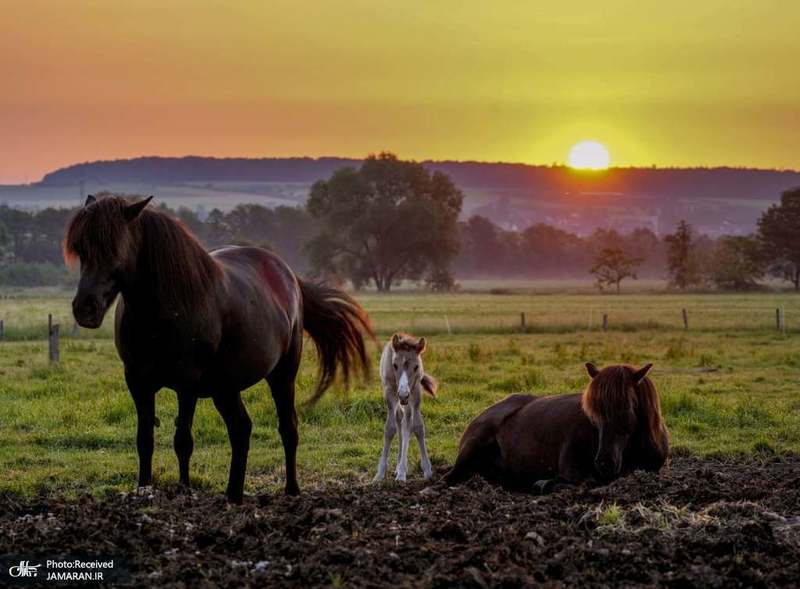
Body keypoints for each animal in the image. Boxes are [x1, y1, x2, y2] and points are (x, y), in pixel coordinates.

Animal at [64, 195, 374, 504]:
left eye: (114, 247)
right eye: (81, 249)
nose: (85, 309)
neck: (163, 308)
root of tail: (288, 275)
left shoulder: (187, 382)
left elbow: (183, 441)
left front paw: (185, 490)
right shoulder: (138, 381)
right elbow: (144, 440)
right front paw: (144, 489)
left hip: (282, 374)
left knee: (288, 427)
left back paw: (291, 490)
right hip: (225, 387)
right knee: (241, 429)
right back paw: (233, 494)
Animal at [374, 334, 438, 480]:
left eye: (416, 367)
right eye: (394, 365)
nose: (403, 394)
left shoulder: (416, 391)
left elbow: (418, 427)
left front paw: (427, 469)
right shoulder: (389, 391)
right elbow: (390, 429)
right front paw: (380, 473)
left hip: (409, 399)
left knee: (407, 422)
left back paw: (402, 469)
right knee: (400, 421)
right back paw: (399, 467)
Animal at [444, 362, 668, 492]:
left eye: (628, 405)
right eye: (594, 412)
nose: (605, 462)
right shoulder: (572, 466)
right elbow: (586, 481)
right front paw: (546, 483)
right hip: (472, 448)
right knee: (449, 478)